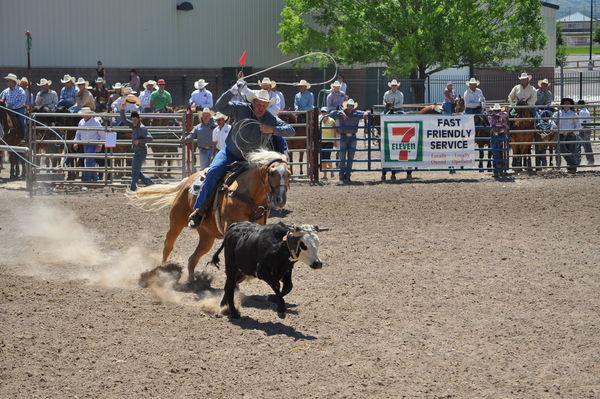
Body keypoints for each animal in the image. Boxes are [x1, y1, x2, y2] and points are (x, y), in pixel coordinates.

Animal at [127, 149, 290, 284]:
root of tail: (186, 181)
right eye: (272, 173)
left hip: (207, 237)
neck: (247, 195)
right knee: (168, 244)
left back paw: (192, 281)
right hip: (176, 222)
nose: (280, 200)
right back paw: (162, 270)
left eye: (288, 173)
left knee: (193, 258)